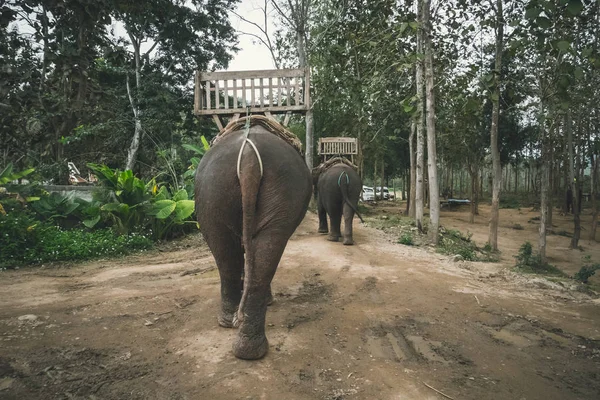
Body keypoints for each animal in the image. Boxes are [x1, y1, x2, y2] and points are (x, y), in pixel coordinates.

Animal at [196, 118, 312, 360]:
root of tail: (249, 155)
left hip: (214, 189)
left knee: (226, 251)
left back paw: (236, 333)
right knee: (263, 249)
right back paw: (247, 342)